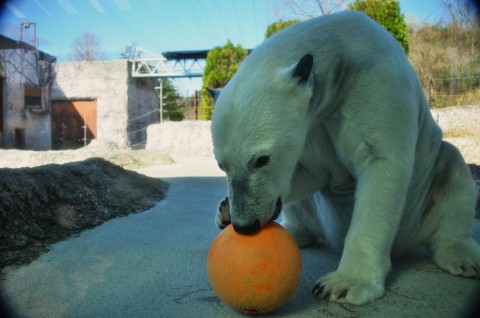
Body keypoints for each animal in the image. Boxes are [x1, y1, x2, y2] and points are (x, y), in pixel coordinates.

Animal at [210, 11, 480, 306]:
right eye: (221, 165)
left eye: (262, 159)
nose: (244, 225)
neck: (340, 52)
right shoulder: (313, 125)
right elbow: (312, 172)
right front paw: (224, 209)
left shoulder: (377, 85)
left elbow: (382, 163)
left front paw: (345, 283)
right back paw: (294, 230)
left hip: (423, 201)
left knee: (453, 167)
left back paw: (462, 256)